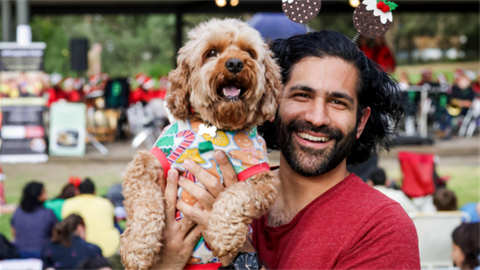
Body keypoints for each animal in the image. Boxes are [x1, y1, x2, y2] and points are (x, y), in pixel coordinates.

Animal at [120, 17, 284, 268]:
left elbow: (235, 196)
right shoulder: (147, 163)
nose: (235, 63)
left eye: (249, 52)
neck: (215, 127)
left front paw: (223, 235)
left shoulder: (261, 178)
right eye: (212, 52)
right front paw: (137, 248)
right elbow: (144, 204)